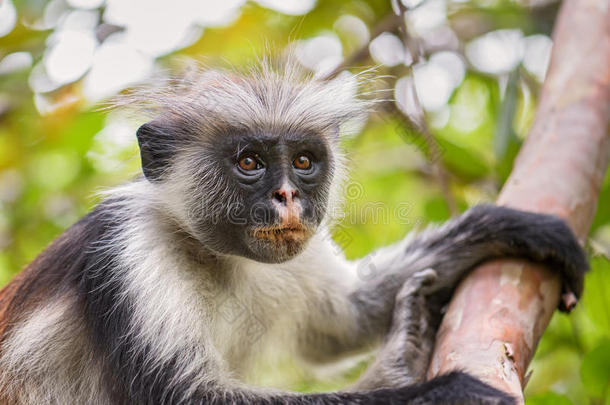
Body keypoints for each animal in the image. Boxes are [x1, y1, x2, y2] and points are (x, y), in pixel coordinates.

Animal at [0, 60, 588, 404]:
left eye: (303, 162)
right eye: (250, 162)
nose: (288, 197)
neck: (216, 256)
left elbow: (342, 320)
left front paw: (509, 227)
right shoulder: (126, 253)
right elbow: (193, 399)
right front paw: (433, 387)